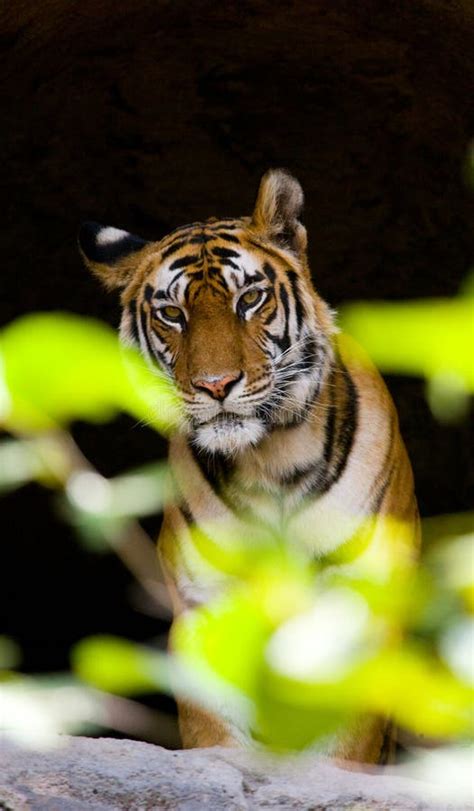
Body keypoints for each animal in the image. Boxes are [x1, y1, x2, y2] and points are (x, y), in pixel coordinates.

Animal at [79, 170, 420, 760]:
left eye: (251, 298)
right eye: (172, 314)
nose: (216, 386)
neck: (270, 460)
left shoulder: (361, 604)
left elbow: (345, 747)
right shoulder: (205, 605)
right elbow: (215, 737)